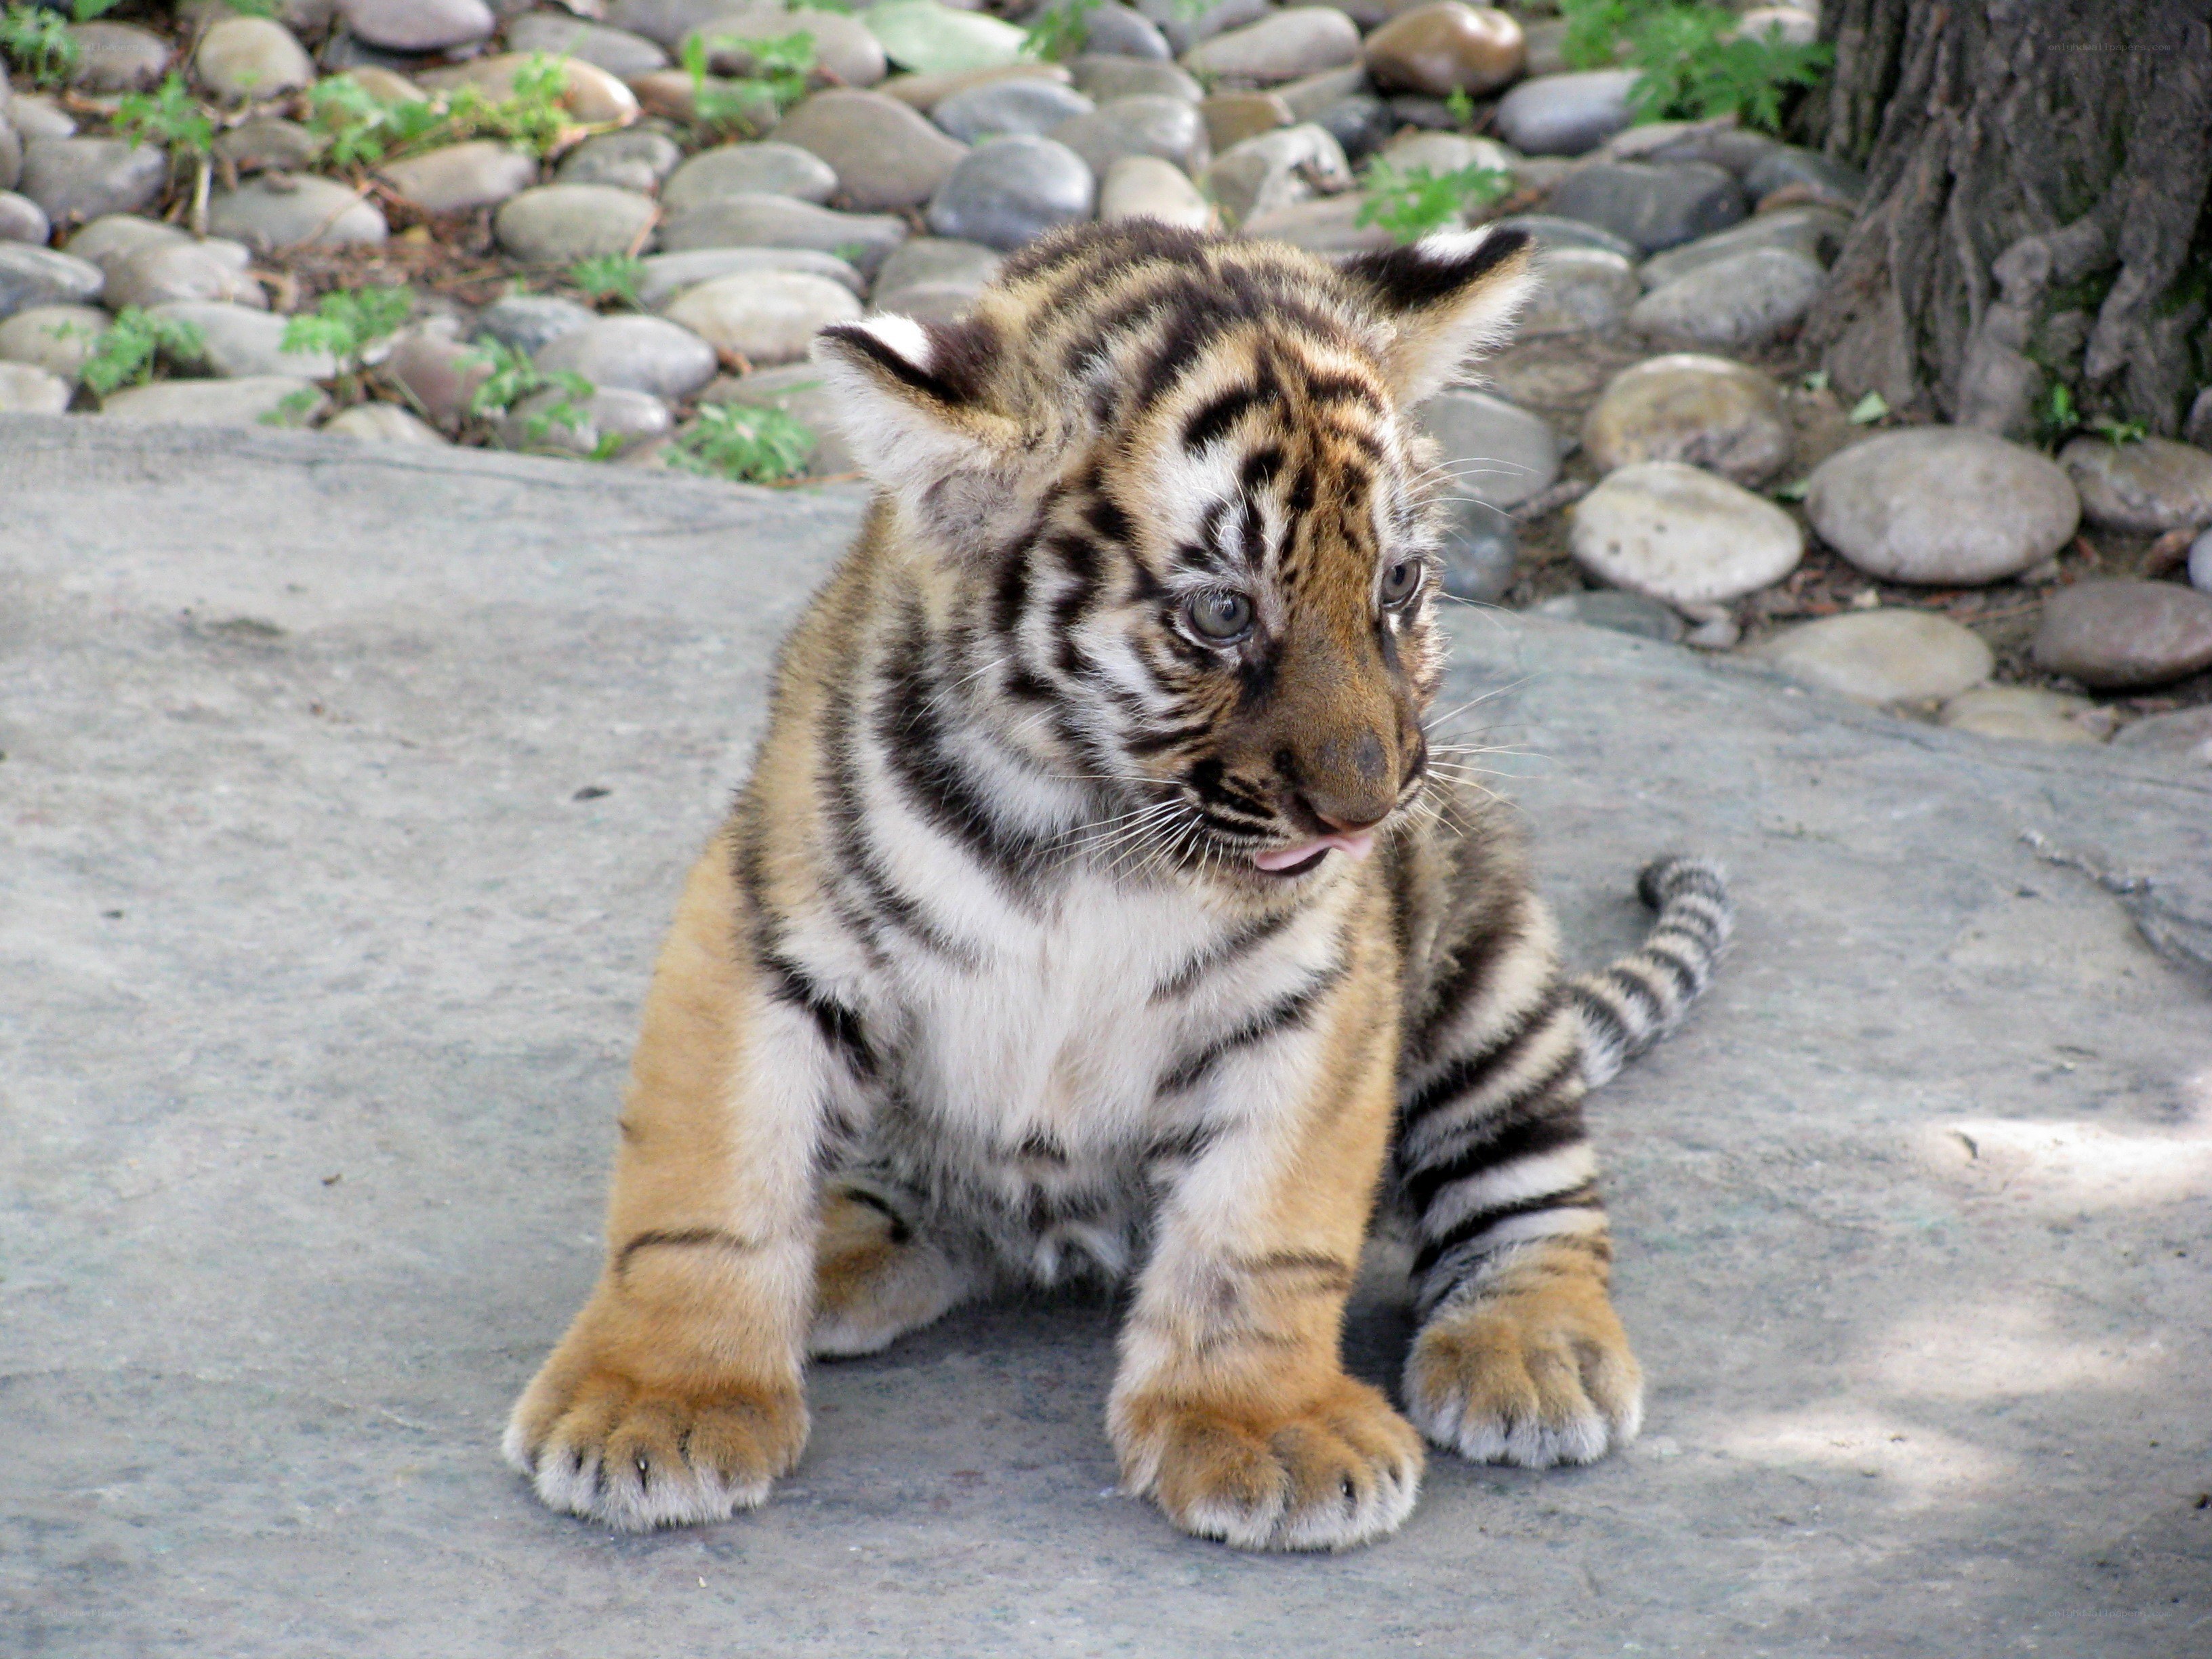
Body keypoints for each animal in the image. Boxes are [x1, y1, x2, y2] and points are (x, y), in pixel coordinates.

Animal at [502, 219, 1733, 1552]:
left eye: (1398, 585)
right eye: (1220, 613)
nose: (1368, 810)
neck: (1096, 831)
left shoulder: (1313, 994)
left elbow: (1261, 1228)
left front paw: (1265, 1428)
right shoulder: (766, 931)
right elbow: (706, 1189)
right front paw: (660, 1401)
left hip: (1491, 965)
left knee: (1534, 1189)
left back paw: (1533, 1353)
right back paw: (833, 1249)